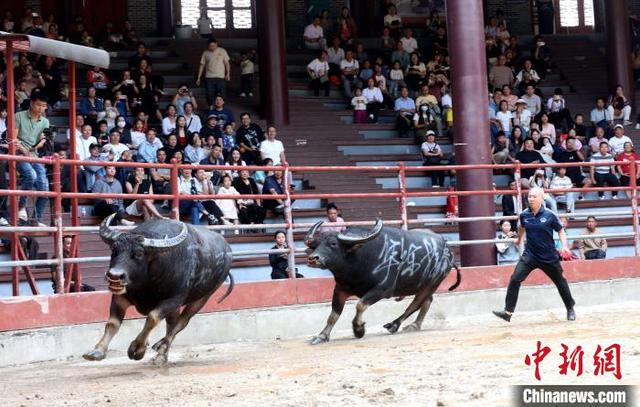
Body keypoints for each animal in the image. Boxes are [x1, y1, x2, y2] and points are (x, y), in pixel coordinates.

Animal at [84, 215, 234, 364]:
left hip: (202, 299)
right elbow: (112, 323)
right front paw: (97, 351)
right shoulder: (120, 296)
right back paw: (161, 352)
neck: (146, 285)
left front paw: (137, 348)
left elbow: (153, 318)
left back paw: (161, 350)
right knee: (172, 324)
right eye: (114, 250)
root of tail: (227, 250)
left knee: (180, 324)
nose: (114, 276)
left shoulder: (173, 300)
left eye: (139, 254)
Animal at [304, 220, 460, 344]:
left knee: (416, 304)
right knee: (426, 301)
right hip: (423, 284)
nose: (313, 258)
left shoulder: (383, 289)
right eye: (315, 245)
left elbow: (360, 305)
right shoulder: (340, 289)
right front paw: (322, 336)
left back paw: (394, 325)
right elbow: (333, 315)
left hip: (433, 282)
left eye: (333, 243)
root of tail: (448, 250)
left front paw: (358, 329)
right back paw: (414, 325)